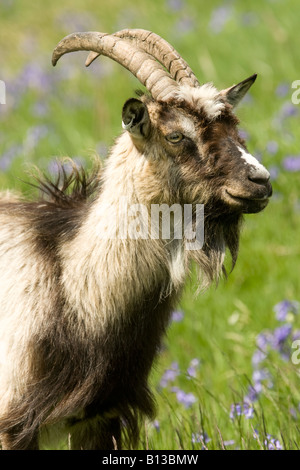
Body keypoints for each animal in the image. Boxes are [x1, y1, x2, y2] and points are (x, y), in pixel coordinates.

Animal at [0, 30, 272, 452]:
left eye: (235, 130)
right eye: (176, 135)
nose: (260, 181)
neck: (70, 282)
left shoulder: (100, 415)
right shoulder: (12, 422)